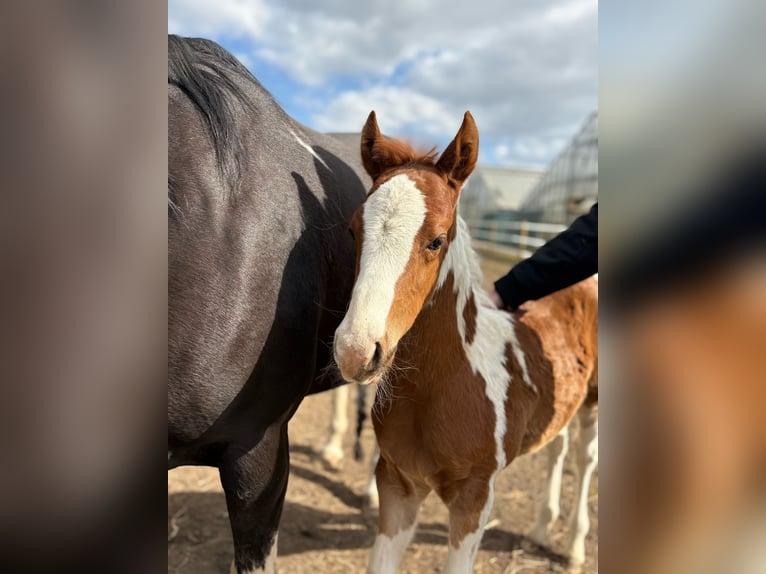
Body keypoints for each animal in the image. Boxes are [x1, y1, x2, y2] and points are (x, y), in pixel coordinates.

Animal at [333, 111, 598, 572]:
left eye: (436, 240)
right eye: (353, 231)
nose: (355, 350)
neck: (443, 385)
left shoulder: (474, 495)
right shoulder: (397, 483)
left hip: (594, 400)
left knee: (584, 459)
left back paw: (575, 548)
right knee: (557, 448)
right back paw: (541, 529)